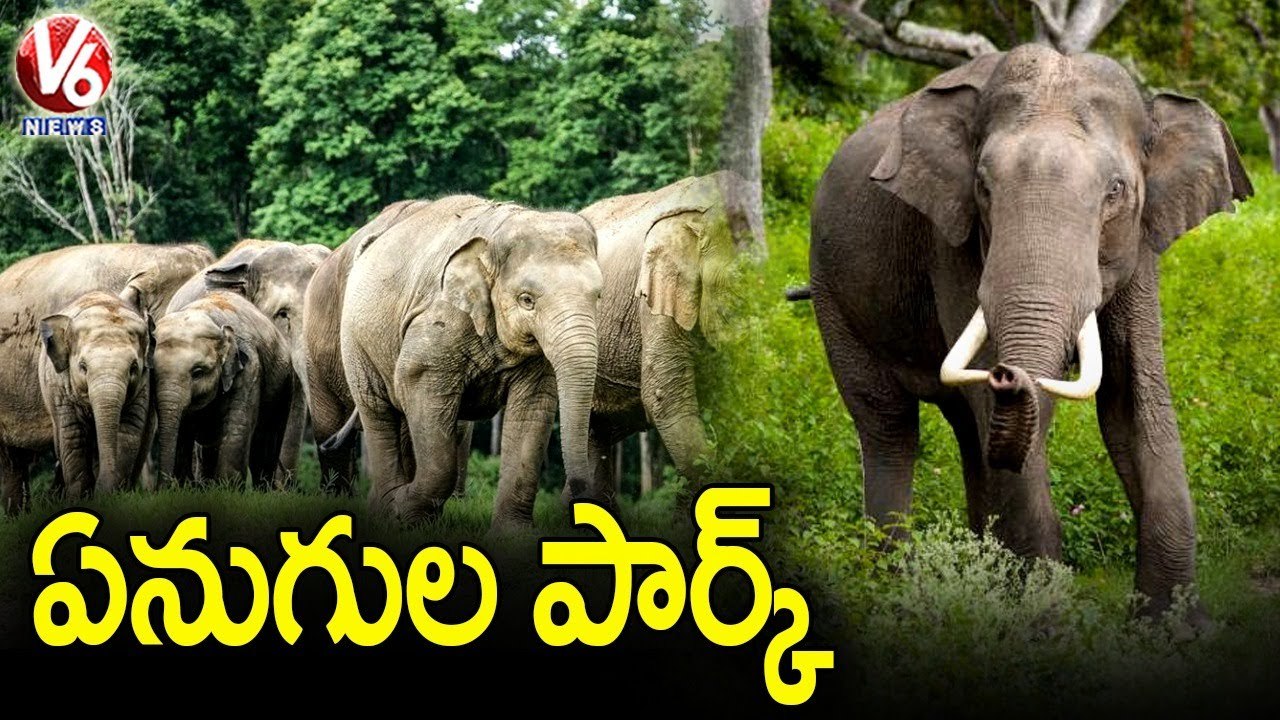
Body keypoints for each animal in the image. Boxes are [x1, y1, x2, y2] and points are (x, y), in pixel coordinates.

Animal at [152, 291, 295, 488]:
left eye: (198, 373)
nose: (160, 488)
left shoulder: (249, 369)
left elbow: (236, 428)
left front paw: (228, 489)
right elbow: (182, 431)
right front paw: (186, 488)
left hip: (284, 387)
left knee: (265, 445)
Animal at [328, 195, 602, 526]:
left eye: (598, 296)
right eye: (527, 300)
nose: (582, 494)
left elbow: (532, 410)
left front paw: (513, 532)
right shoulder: (439, 321)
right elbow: (416, 380)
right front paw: (403, 510)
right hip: (355, 341)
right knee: (379, 412)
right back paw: (388, 507)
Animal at [808, 45, 1251, 620]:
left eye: (1116, 191)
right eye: (983, 187)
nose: (1006, 374)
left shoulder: (1141, 246)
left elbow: (1134, 402)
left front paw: (1172, 625)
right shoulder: (951, 241)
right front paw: (1043, 622)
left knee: (967, 432)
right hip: (831, 293)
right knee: (889, 426)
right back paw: (894, 592)